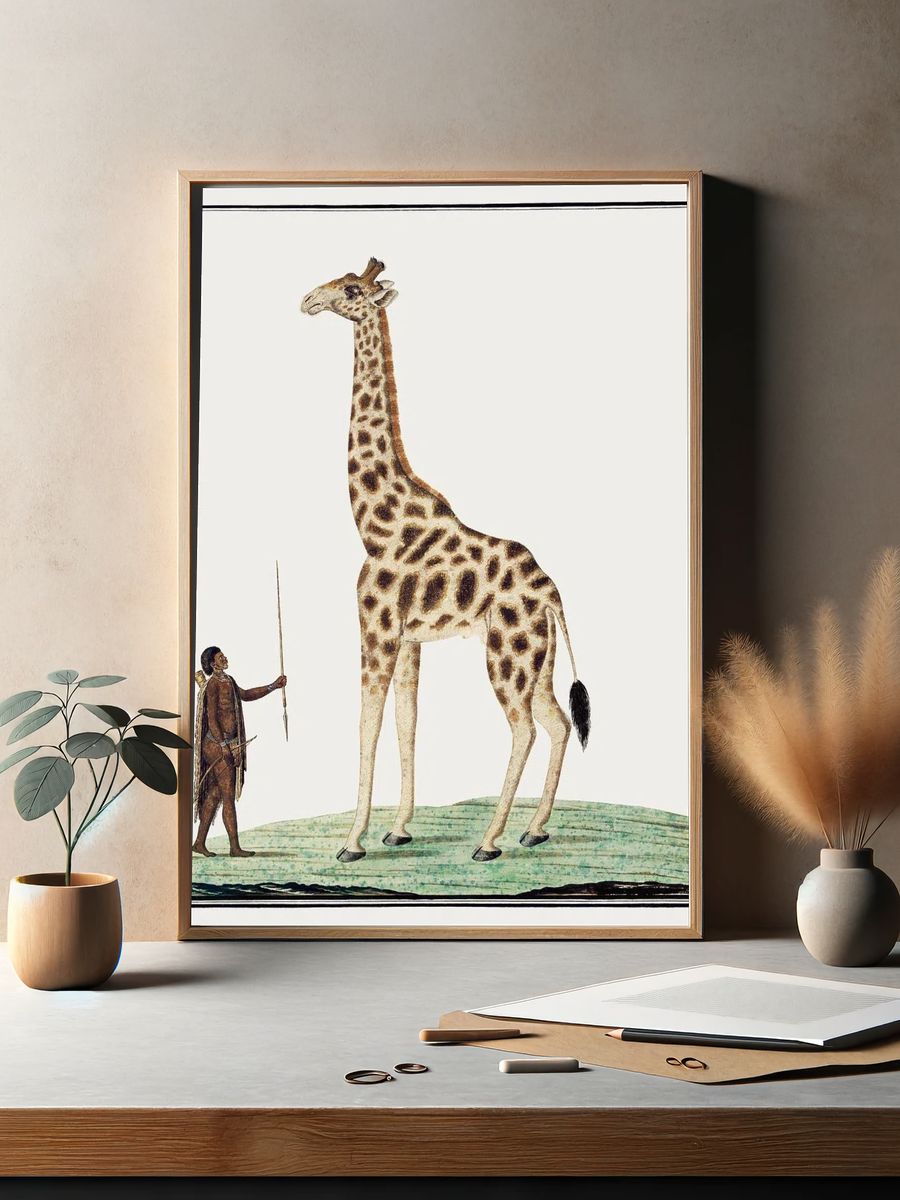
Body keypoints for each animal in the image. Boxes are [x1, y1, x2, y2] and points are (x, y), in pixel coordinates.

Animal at [300, 258, 591, 863]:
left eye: (351, 290)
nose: (308, 300)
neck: (374, 523)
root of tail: (552, 595)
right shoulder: (409, 640)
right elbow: (406, 725)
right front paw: (398, 829)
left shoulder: (376, 631)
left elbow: (367, 727)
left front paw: (352, 842)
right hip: (538, 658)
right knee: (557, 724)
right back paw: (534, 829)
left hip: (507, 655)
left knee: (524, 729)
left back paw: (489, 841)